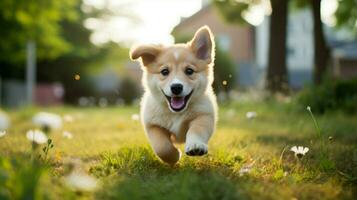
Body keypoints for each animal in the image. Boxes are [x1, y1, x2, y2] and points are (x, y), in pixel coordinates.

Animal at [129, 26, 216, 164]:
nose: (176, 87)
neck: (176, 113)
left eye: (189, 71)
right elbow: (162, 146)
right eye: (165, 72)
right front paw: (174, 156)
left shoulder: (204, 115)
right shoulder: (152, 125)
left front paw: (195, 146)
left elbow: (196, 130)